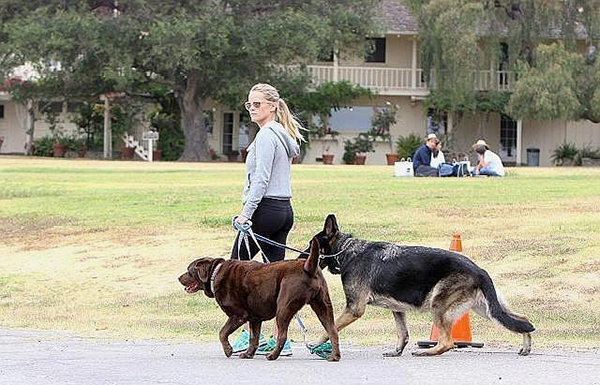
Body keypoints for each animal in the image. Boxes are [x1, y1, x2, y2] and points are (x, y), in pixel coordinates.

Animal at [178, 237, 340, 360]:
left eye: (189, 270)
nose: (178, 277)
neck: (214, 273)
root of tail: (308, 266)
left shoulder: (238, 315)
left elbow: (222, 332)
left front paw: (228, 350)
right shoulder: (255, 318)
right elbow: (253, 338)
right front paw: (248, 354)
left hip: (283, 307)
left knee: (282, 336)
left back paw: (272, 355)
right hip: (323, 305)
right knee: (332, 330)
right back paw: (334, 356)